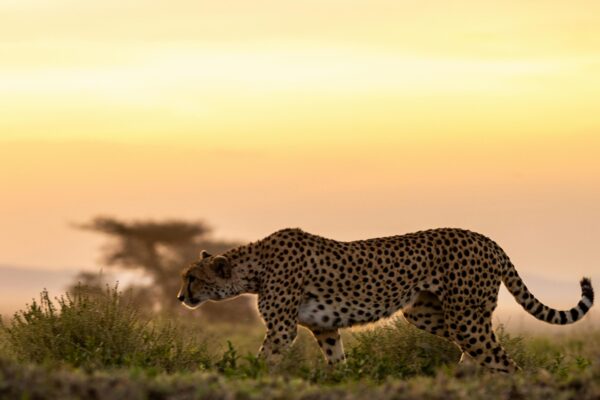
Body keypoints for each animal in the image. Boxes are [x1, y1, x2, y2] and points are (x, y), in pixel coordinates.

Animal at [176, 228, 592, 372]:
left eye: (193, 278)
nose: (180, 296)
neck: (254, 267)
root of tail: (487, 238)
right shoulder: (324, 328)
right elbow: (337, 362)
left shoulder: (281, 329)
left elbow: (263, 360)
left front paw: (242, 376)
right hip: (426, 313)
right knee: (481, 351)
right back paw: (464, 377)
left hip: (464, 317)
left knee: (503, 361)